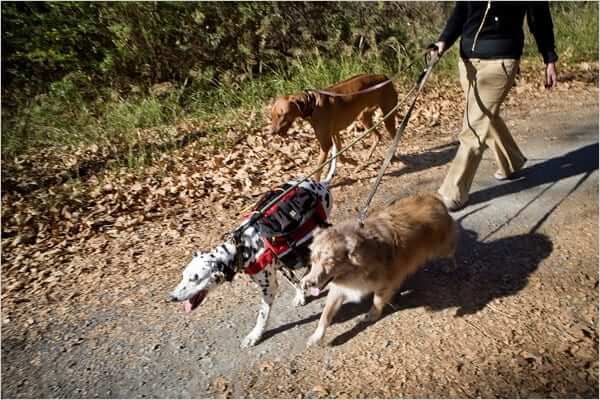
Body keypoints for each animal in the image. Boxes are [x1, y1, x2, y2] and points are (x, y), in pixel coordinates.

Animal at [170, 145, 338, 346]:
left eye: (194, 278)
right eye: (183, 276)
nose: (171, 297)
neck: (242, 247)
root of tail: (322, 185)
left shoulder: (268, 289)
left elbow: (262, 316)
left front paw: (255, 335)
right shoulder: (279, 265)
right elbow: (295, 281)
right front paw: (301, 294)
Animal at [302, 194, 458, 346]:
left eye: (330, 262)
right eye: (313, 260)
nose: (309, 283)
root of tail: (433, 197)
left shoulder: (385, 282)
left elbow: (377, 300)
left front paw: (373, 315)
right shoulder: (340, 288)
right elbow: (325, 315)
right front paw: (317, 337)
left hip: (441, 248)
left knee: (452, 251)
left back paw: (450, 265)